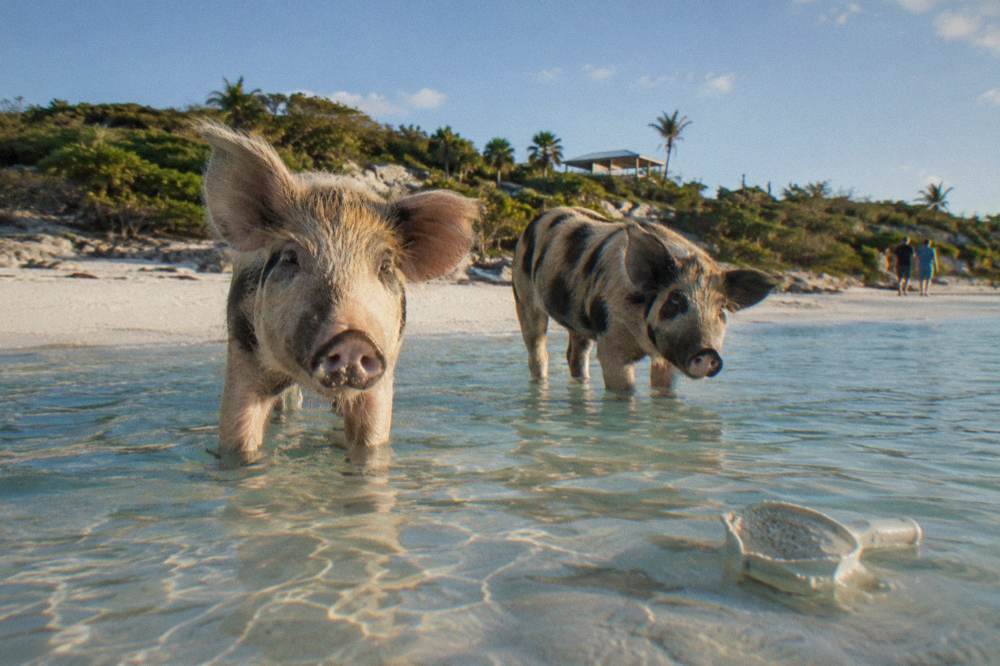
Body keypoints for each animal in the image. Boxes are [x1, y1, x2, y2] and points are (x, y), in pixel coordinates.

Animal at [200, 124, 476, 459]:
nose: (352, 339)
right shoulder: (243, 354)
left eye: (385, 266)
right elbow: (239, 436)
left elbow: (371, 440)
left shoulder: (383, 373)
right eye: (291, 257)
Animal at [512, 207, 776, 392]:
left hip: (578, 319)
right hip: (523, 294)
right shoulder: (611, 340)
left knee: (576, 354)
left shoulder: (669, 358)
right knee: (537, 349)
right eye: (675, 302)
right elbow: (623, 389)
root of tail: (537, 218)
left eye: (721, 311)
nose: (709, 353)